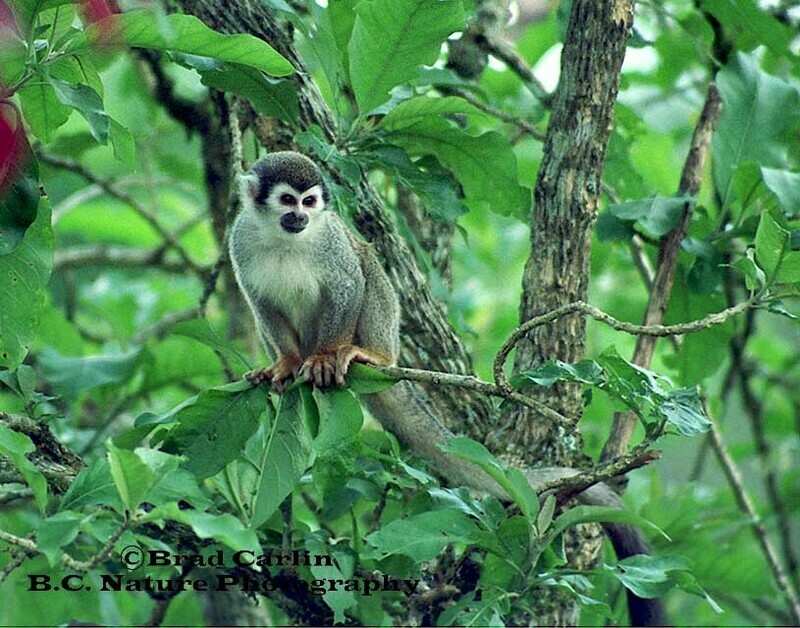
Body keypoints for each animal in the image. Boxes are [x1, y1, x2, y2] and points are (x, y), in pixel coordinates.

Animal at [228, 151, 668, 626]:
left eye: (309, 202)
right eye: (287, 200)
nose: (301, 217)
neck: (283, 239)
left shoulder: (329, 241)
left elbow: (348, 285)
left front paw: (328, 354)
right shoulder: (240, 241)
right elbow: (259, 301)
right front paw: (286, 363)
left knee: (368, 265)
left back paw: (367, 356)